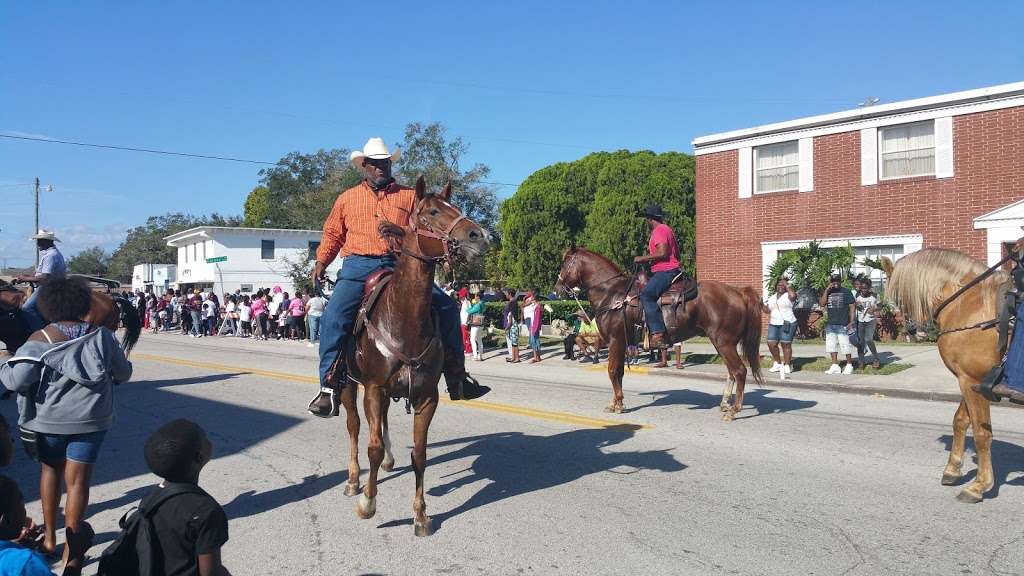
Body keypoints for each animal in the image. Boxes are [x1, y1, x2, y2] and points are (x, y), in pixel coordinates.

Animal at [552, 245, 761, 416]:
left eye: (565, 263)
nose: (557, 290)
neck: (611, 294)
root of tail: (738, 292)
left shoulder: (615, 341)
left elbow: (612, 371)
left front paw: (617, 404)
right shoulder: (622, 343)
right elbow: (619, 372)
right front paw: (618, 403)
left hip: (724, 342)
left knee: (740, 371)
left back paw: (734, 409)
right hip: (721, 343)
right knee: (731, 372)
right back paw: (725, 403)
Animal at [884, 247, 1011, 502]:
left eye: (898, 298)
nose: (913, 331)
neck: (970, 304)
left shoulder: (972, 380)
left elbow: (982, 433)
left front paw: (979, 485)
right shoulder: (970, 380)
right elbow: (960, 421)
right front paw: (953, 469)